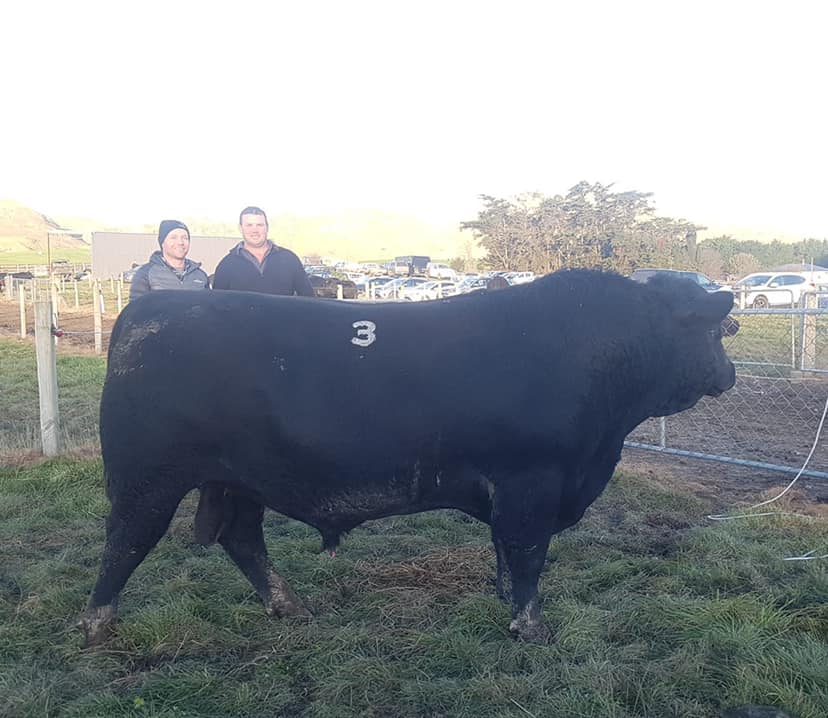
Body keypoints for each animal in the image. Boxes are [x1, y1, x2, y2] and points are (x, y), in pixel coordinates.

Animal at [79, 268, 736, 648]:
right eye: (718, 330)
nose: (729, 375)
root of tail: (146, 312)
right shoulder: (533, 481)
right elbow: (527, 555)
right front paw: (532, 627)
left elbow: (506, 553)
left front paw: (507, 606)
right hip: (148, 478)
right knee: (127, 540)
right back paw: (95, 623)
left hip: (238, 479)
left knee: (241, 538)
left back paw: (290, 606)